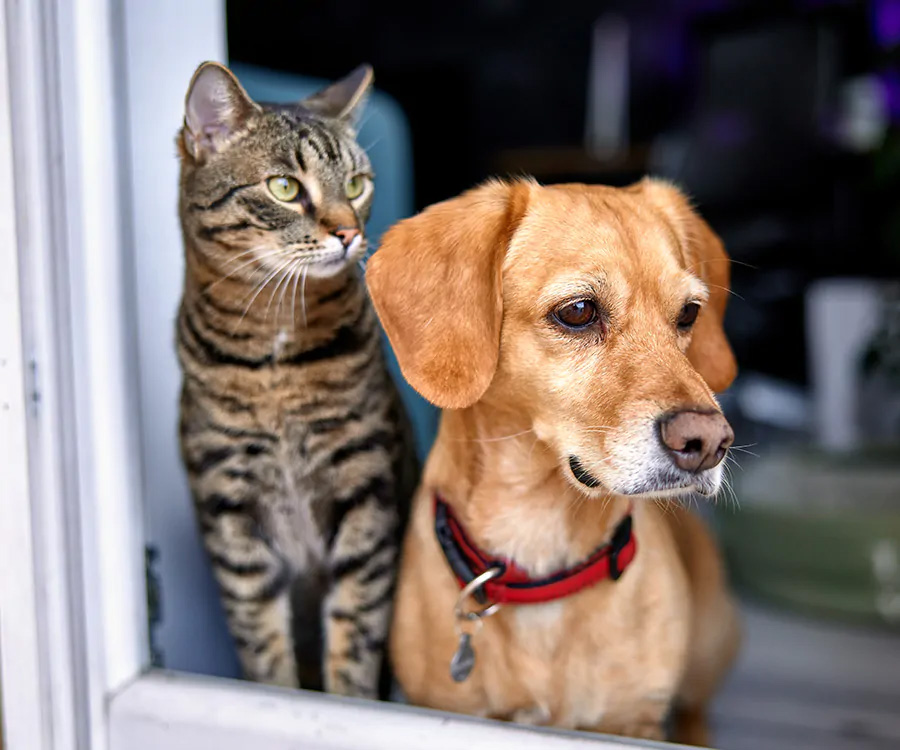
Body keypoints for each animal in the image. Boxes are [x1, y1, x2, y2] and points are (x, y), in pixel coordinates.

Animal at [175, 61, 414, 704]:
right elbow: (261, 636)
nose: (349, 233)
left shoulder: (365, 486)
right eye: (284, 187)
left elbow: (356, 627)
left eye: (356, 185)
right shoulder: (229, 502)